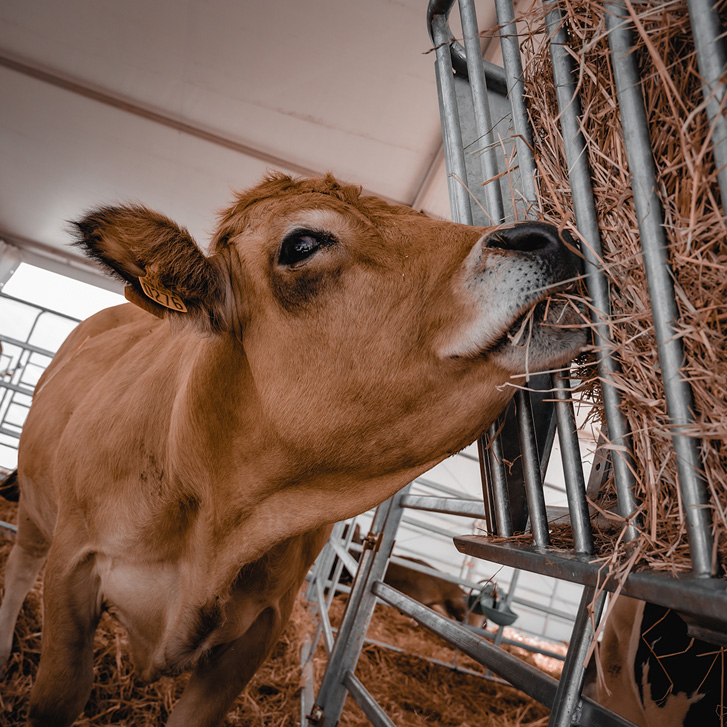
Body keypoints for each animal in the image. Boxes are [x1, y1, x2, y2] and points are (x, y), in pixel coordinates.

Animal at [0, 173, 584, 724]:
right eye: (302, 243)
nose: (549, 235)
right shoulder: (74, 565)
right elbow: (55, 698)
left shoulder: (262, 626)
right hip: (36, 505)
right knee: (22, 561)